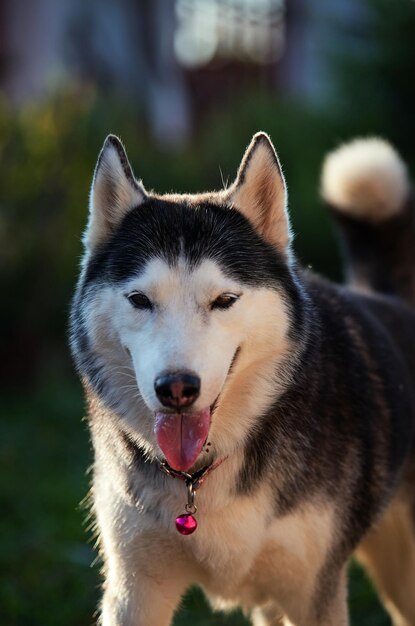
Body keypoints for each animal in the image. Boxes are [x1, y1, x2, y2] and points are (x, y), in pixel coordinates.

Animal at [70, 132, 415, 624]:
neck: (201, 477)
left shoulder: (314, 593)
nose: (176, 388)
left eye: (224, 300)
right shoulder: (134, 590)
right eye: (139, 299)